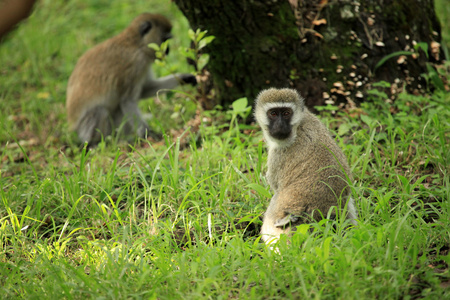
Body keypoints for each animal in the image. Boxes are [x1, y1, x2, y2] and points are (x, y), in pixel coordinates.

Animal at [65, 12, 197, 146]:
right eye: (164, 39)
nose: (167, 51)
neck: (136, 43)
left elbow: (145, 89)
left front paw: (185, 78)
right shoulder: (137, 63)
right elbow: (127, 100)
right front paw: (148, 134)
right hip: (86, 130)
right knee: (99, 110)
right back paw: (98, 143)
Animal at [255, 88, 356, 245]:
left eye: (286, 113)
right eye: (273, 113)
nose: (280, 126)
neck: (298, 126)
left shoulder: (278, 154)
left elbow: (275, 186)